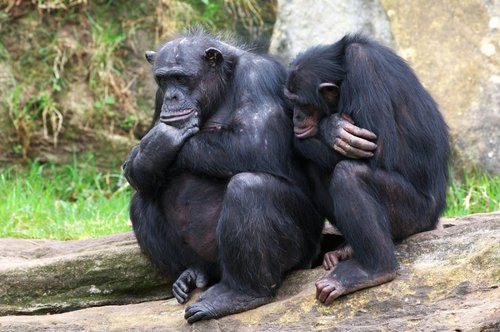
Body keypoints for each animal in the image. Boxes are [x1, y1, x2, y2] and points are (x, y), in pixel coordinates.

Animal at [123, 32, 330, 322]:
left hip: (303, 249)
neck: (221, 87)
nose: (172, 96)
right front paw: (151, 151)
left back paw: (241, 294)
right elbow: (138, 173)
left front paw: (161, 140)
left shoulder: (259, 77)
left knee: (250, 188)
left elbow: (255, 141)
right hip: (210, 260)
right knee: (142, 199)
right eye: (164, 80)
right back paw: (193, 272)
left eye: (182, 78)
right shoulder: (156, 97)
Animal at [286, 35, 450, 304]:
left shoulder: (364, 69)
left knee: (349, 175)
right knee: (315, 165)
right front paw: (333, 128)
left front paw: (330, 127)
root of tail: (435, 219)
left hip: (415, 216)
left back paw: (373, 270)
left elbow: (380, 152)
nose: (296, 117)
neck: (342, 69)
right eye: (291, 103)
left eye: (303, 104)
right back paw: (347, 249)